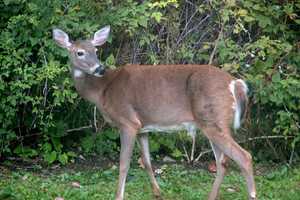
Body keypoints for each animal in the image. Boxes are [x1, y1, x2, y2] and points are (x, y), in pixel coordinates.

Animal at [52, 25, 256, 199]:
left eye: (95, 50)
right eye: (79, 52)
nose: (99, 68)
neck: (102, 90)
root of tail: (235, 83)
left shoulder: (127, 121)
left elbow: (124, 164)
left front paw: (119, 196)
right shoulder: (143, 127)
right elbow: (147, 161)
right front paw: (158, 193)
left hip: (213, 119)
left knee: (244, 156)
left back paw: (252, 194)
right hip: (212, 122)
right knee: (222, 162)